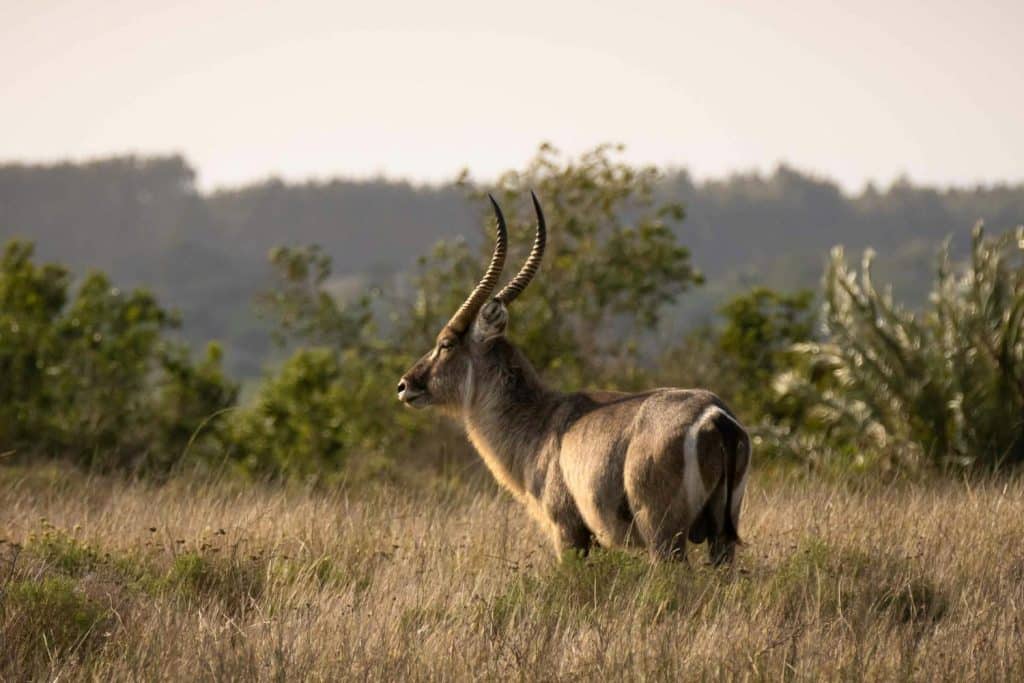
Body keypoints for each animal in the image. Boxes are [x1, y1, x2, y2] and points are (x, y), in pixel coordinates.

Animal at [397, 194, 750, 564]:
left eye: (446, 343)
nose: (405, 385)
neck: (539, 419)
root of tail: (714, 415)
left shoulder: (567, 529)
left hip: (663, 534)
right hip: (721, 536)